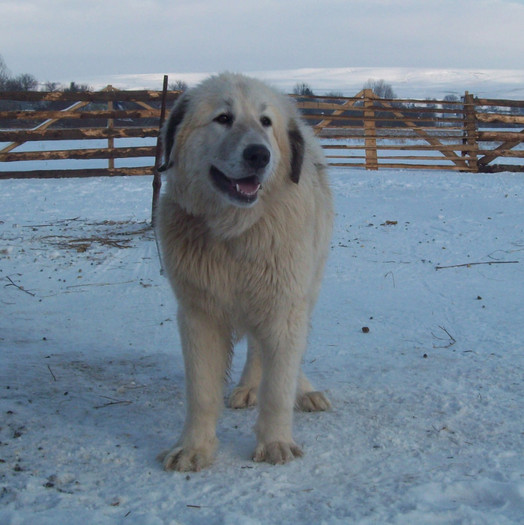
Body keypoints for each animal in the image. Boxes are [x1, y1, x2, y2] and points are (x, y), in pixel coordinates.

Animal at [156, 73, 334, 470]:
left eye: (266, 122)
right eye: (223, 118)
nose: (258, 154)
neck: (236, 233)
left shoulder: (284, 306)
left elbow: (278, 386)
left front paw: (276, 443)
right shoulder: (199, 315)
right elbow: (201, 392)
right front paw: (194, 447)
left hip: (307, 288)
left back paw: (305, 391)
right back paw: (250, 387)